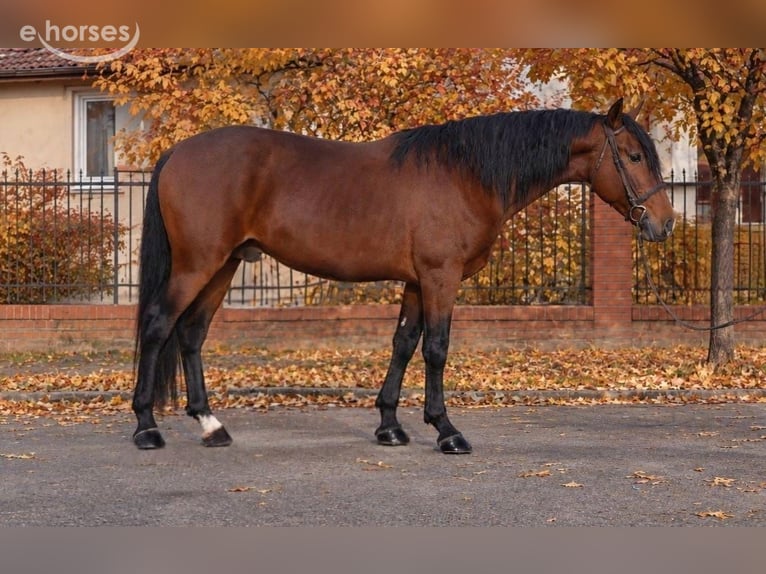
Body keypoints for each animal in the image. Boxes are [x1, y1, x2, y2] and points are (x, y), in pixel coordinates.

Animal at [131, 98, 675, 454]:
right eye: (633, 156)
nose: (664, 223)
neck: (464, 173)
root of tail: (178, 151)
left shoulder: (416, 281)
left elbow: (403, 344)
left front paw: (390, 426)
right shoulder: (440, 277)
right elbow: (435, 348)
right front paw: (447, 430)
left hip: (223, 265)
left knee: (191, 334)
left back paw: (210, 426)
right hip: (198, 264)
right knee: (159, 326)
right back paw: (146, 428)